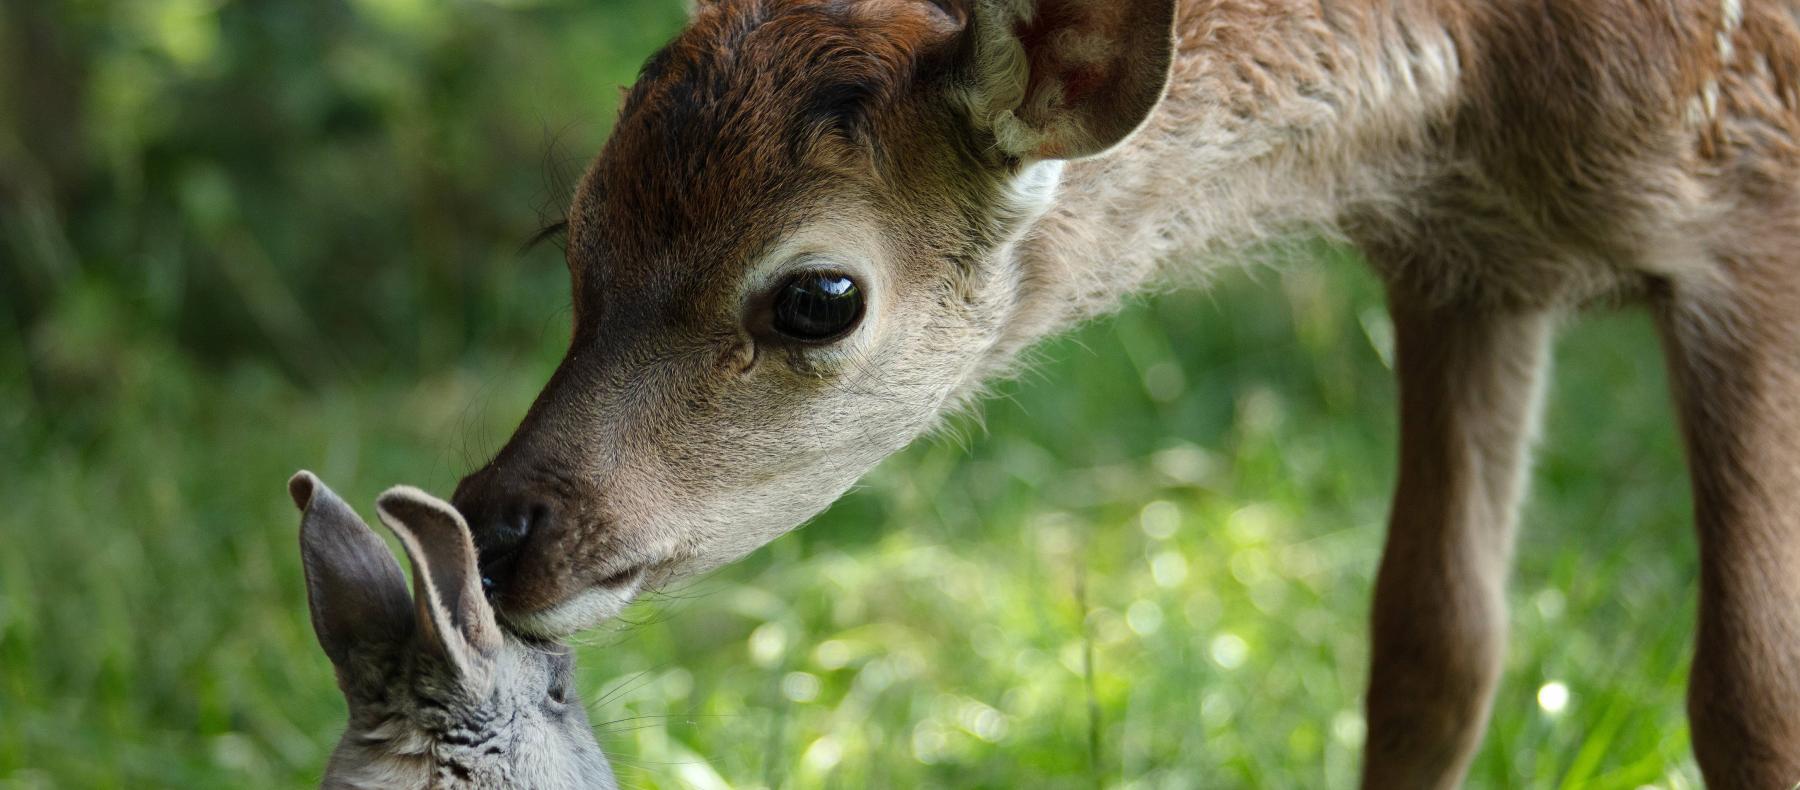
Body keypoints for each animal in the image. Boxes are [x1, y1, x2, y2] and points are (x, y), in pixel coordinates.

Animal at [446, 0, 1800, 784]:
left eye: (818, 295)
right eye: (571, 231)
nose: (497, 527)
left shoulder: (1750, 208)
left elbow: (1751, 691)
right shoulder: (1468, 264)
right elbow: (1435, 654)